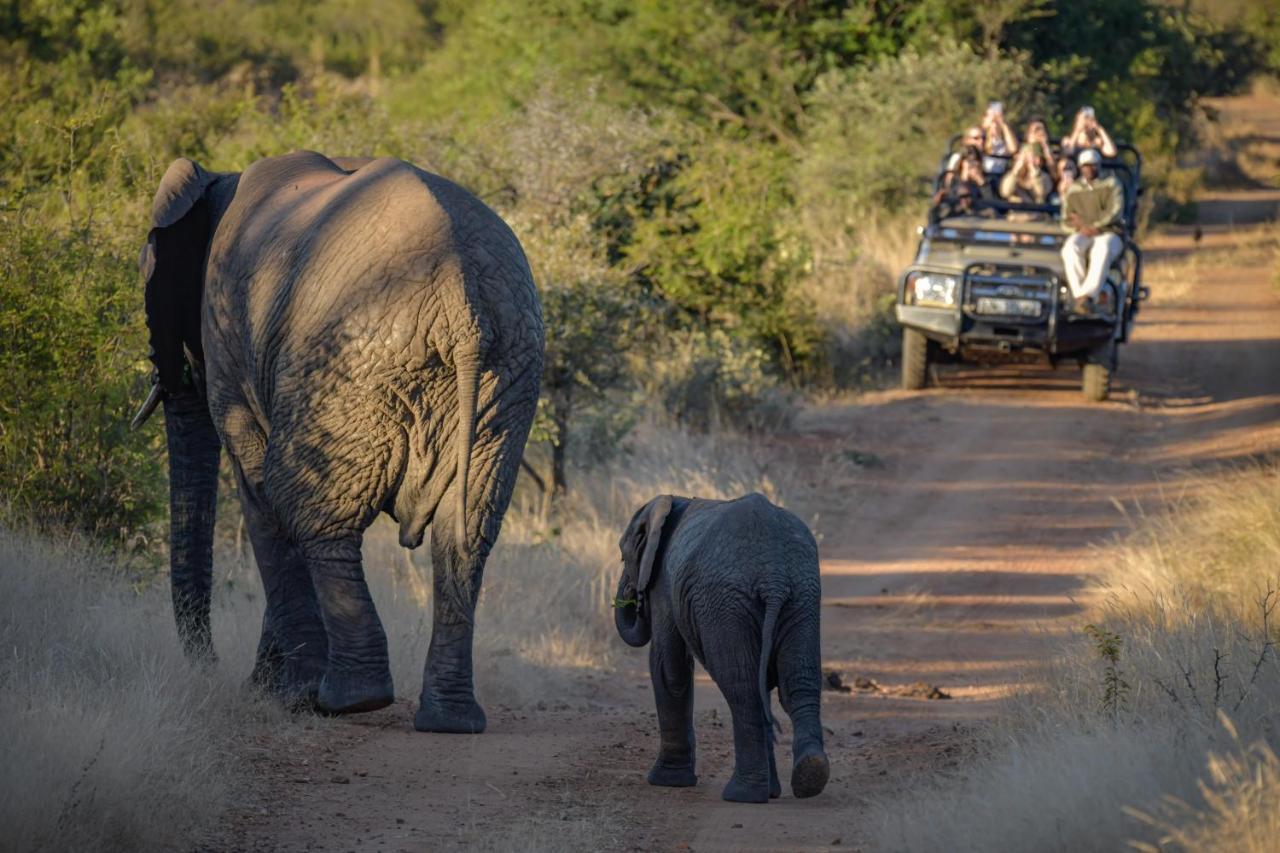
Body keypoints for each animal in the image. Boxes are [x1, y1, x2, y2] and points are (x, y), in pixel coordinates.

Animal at [132, 147, 542, 732]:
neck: (219, 182)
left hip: (351, 364)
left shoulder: (227, 333)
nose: (207, 666)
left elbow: (259, 490)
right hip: (508, 379)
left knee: (305, 505)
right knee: (464, 533)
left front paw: (281, 695)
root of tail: (463, 307)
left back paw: (350, 698)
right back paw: (449, 720)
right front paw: (270, 688)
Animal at [611, 489, 829, 799]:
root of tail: (773, 578)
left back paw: (742, 795)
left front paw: (666, 782)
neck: (673, 500)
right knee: (799, 683)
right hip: (802, 594)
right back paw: (807, 777)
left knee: (742, 687)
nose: (634, 597)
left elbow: (669, 666)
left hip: (726, 602)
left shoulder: (663, 580)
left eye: (622, 556)